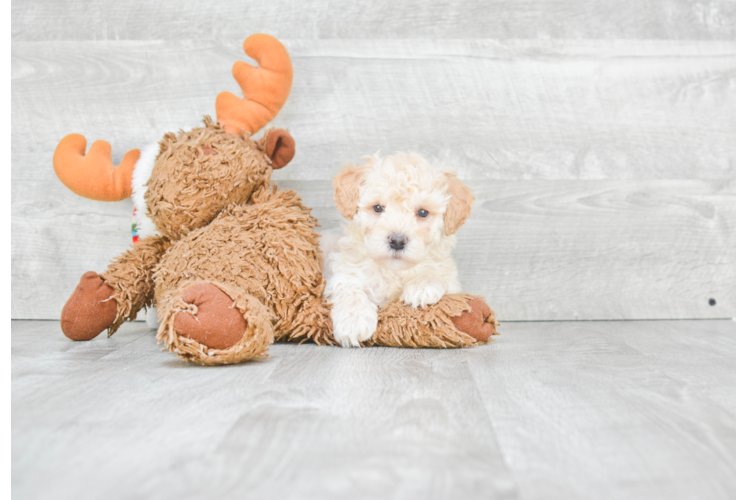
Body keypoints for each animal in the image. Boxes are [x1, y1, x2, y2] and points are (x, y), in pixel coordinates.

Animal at [322, 152, 474, 348]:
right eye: (378, 208)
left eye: (423, 213)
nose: (397, 241)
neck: (394, 270)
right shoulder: (344, 273)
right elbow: (349, 291)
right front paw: (354, 320)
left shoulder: (452, 282)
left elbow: (439, 277)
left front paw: (422, 285)